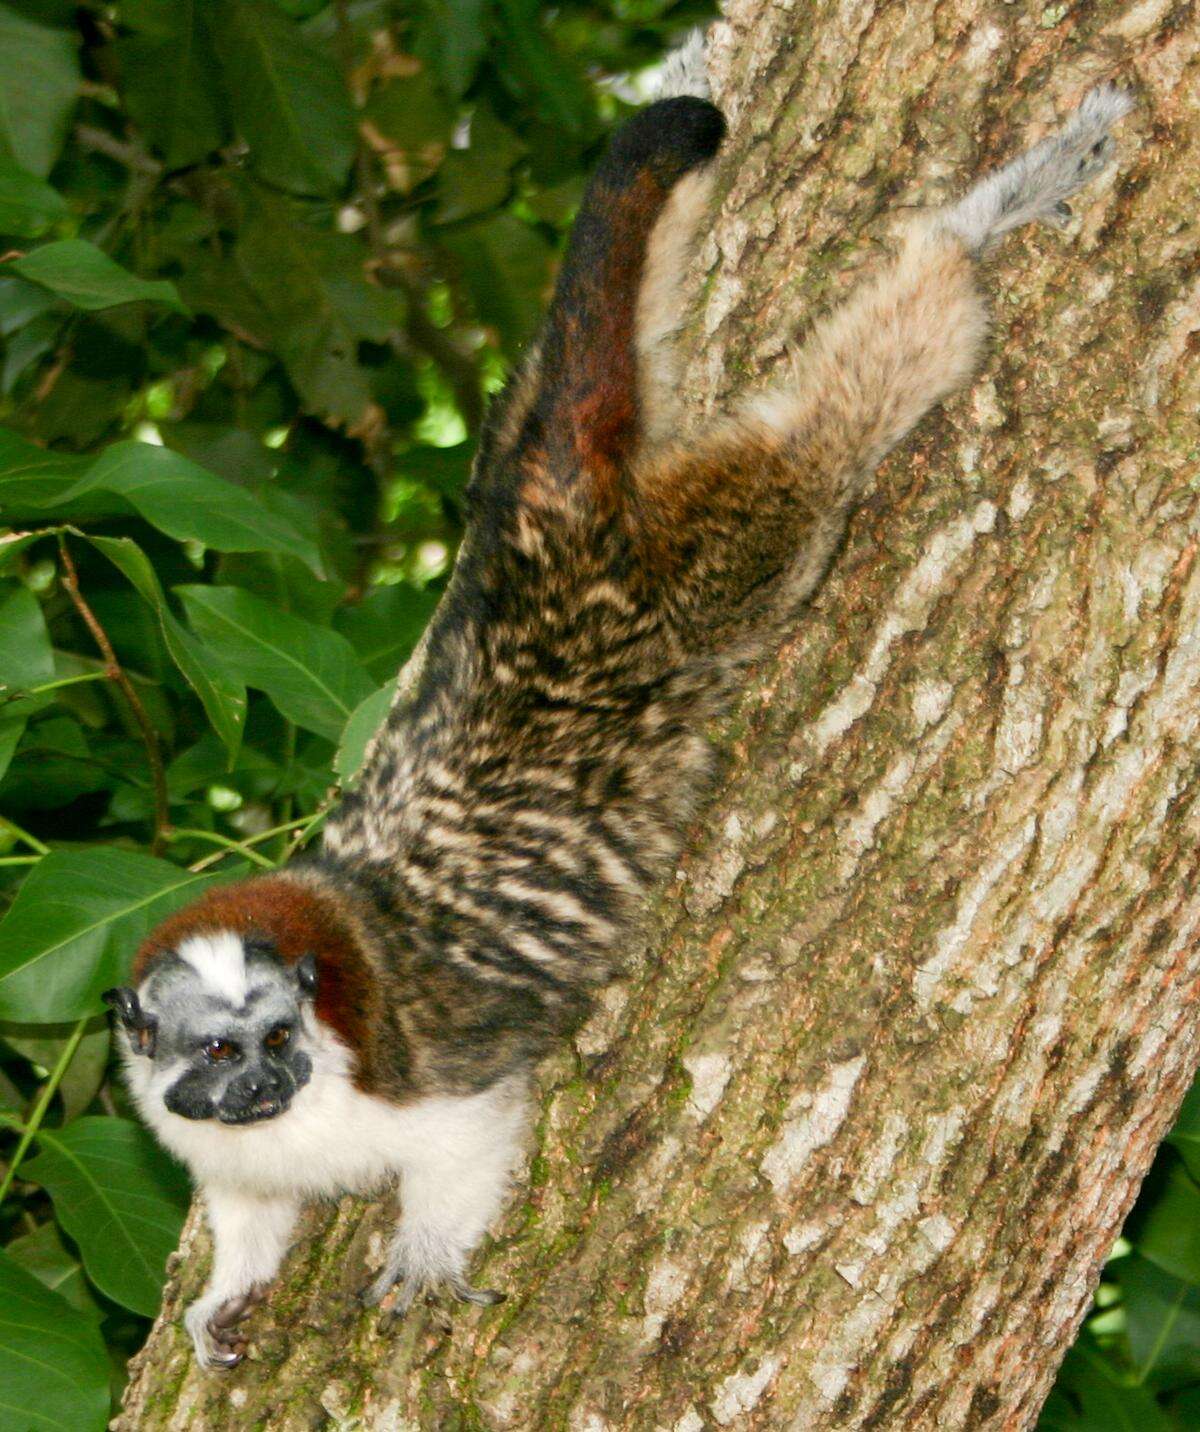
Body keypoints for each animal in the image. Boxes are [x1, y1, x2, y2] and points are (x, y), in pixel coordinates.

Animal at [103, 47, 1139, 1363]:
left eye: (280, 1038)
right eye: (220, 1050)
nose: (264, 1085)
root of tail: (546, 534)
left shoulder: (411, 1072)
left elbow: (470, 1133)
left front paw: (425, 1255)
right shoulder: (204, 1130)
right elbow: (245, 1206)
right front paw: (227, 1291)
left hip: (695, 575)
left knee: (820, 451)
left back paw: (977, 223)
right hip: (515, 474)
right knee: (582, 366)